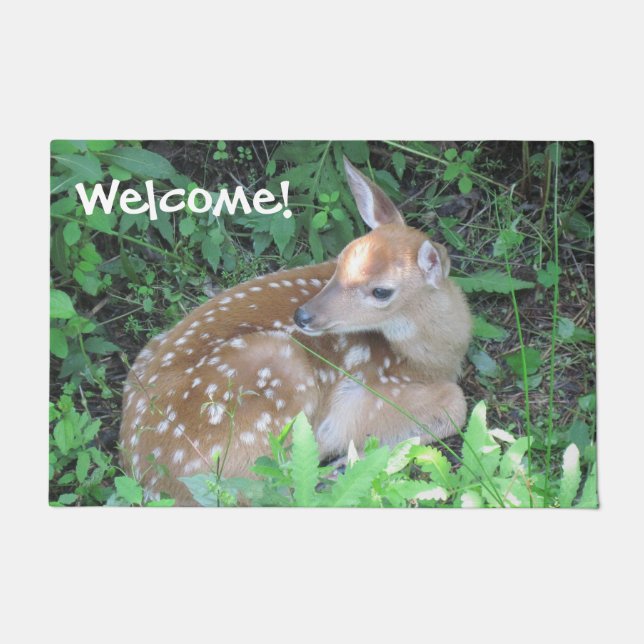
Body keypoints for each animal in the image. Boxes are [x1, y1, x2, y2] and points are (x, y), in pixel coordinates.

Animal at [120, 158, 472, 505]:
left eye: (381, 291)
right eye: (340, 260)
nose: (303, 315)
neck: (431, 360)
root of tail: (150, 477)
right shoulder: (363, 394)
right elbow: (456, 404)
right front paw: (351, 460)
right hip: (276, 372)